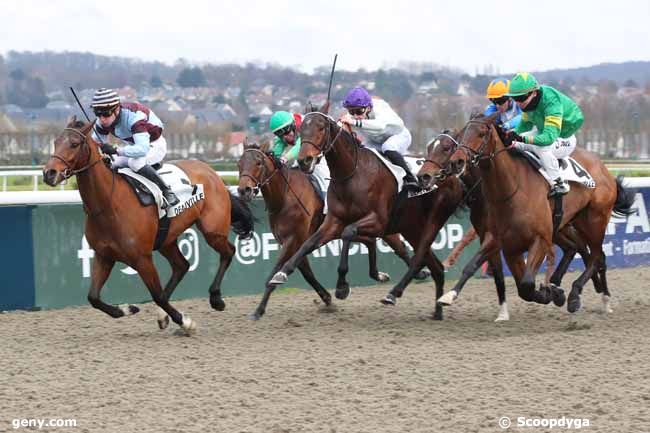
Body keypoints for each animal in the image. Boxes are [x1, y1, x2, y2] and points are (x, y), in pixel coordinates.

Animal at [42, 118, 253, 334]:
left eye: (74, 144)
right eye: (55, 142)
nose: (49, 173)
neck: (108, 203)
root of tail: (212, 173)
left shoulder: (142, 259)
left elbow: (157, 295)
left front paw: (186, 322)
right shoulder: (104, 256)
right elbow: (93, 297)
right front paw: (127, 309)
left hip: (212, 230)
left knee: (228, 251)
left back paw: (216, 298)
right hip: (166, 239)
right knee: (182, 265)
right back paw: (164, 314)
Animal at [235, 142, 428, 318]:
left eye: (258, 163)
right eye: (239, 164)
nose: (244, 190)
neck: (284, 196)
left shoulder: (293, 240)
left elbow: (276, 271)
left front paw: (259, 310)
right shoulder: (294, 241)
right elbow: (306, 273)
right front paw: (327, 298)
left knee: (398, 246)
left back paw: (416, 272)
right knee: (370, 240)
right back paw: (383, 275)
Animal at [268, 106, 466, 318]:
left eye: (321, 128)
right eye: (302, 129)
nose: (304, 161)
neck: (352, 174)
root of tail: (452, 177)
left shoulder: (378, 221)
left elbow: (348, 234)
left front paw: (342, 287)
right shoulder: (333, 222)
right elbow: (307, 244)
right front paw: (281, 273)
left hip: (431, 221)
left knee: (422, 258)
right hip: (411, 228)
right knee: (435, 266)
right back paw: (437, 312)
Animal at [426, 113, 632, 312]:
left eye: (481, 133)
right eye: (461, 137)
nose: (424, 176)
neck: (511, 190)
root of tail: (604, 169)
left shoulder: (540, 239)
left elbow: (526, 284)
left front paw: (551, 293)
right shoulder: (501, 241)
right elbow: (475, 267)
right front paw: (448, 295)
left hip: (594, 220)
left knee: (596, 257)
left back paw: (582, 295)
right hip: (565, 225)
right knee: (578, 249)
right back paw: (568, 286)